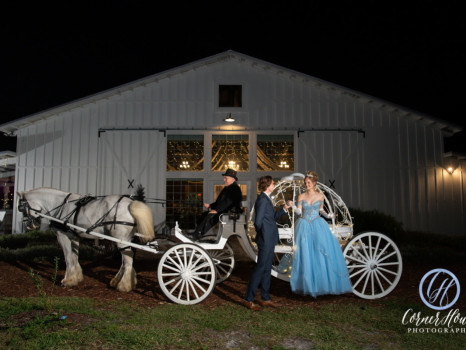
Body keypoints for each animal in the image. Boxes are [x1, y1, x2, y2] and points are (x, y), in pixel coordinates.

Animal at [17, 189, 155, 292]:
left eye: (21, 208)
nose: (28, 226)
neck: (61, 205)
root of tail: (130, 203)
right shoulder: (74, 236)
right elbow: (74, 256)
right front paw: (76, 277)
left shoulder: (62, 235)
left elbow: (68, 256)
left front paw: (67, 280)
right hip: (124, 239)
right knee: (126, 259)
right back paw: (117, 281)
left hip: (121, 238)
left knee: (128, 258)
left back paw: (124, 285)